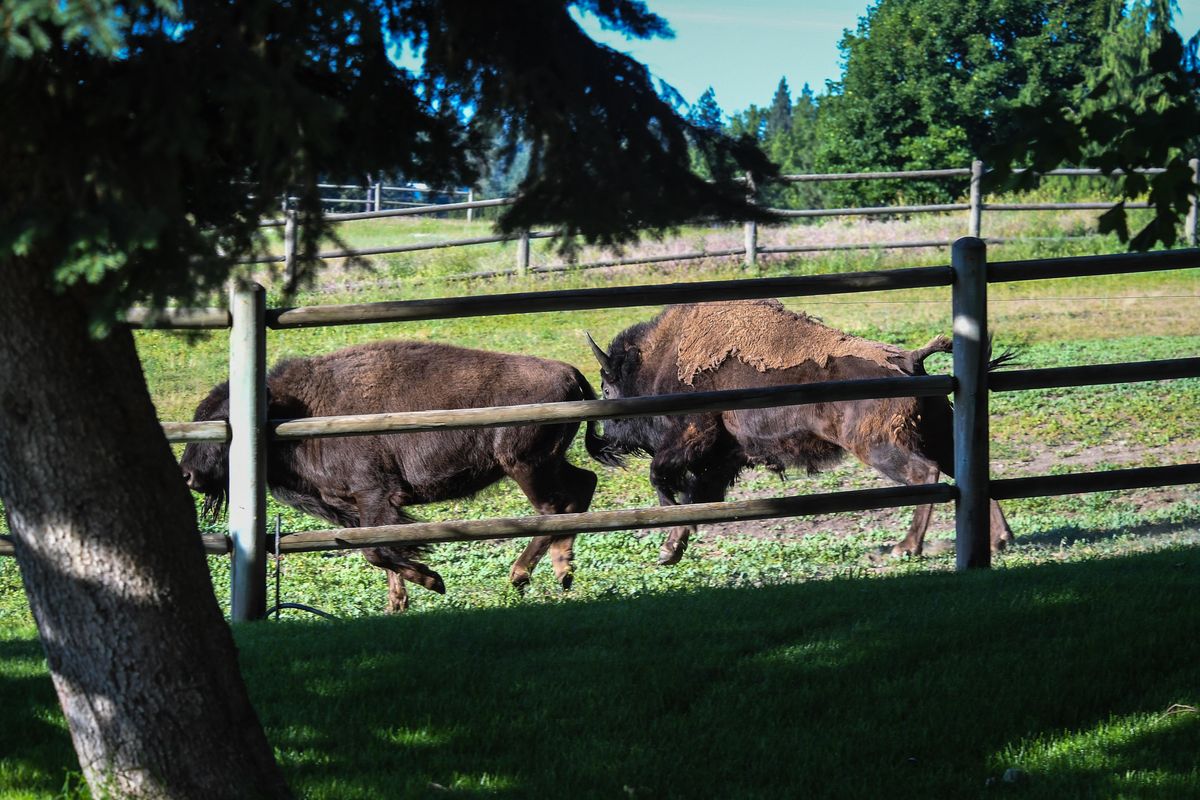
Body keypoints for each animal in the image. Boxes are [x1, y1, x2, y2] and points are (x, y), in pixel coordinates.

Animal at [182, 340, 614, 614]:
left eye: (221, 419)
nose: (187, 474)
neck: (295, 409)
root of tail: (570, 373)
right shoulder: (359, 508)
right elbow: (380, 549)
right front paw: (397, 604)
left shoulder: (374, 494)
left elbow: (377, 550)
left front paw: (433, 581)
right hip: (546, 464)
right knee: (582, 487)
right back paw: (562, 571)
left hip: (525, 466)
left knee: (553, 507)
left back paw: (521, 575)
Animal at [590, 298, 1012, 563]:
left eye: (608, 387)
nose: (606, 441)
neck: (661, 359)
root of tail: (907, 358)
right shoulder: (724, 458)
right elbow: (695, 497)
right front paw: (670, 550)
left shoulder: (692, 439)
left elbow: (663, 479)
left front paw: (667, 542)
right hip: (935, 433)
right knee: (964, 471)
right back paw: (998, 540)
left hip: (878, 447)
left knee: (925, 474)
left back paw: (904, 547)